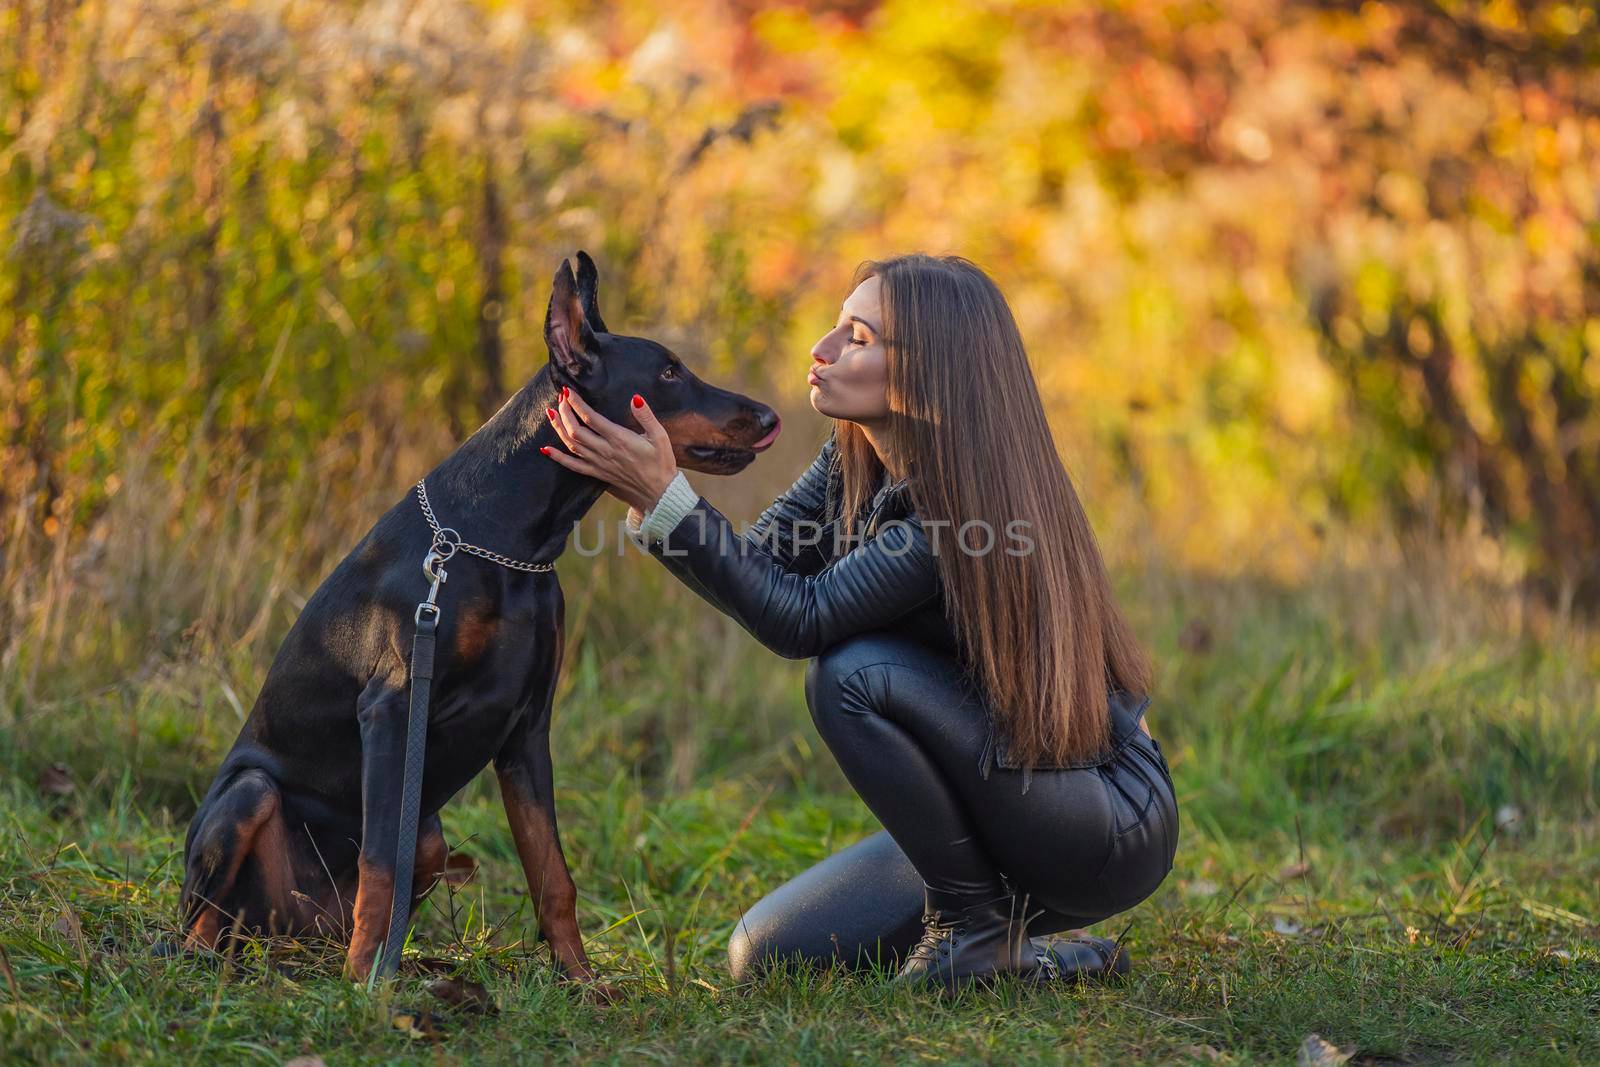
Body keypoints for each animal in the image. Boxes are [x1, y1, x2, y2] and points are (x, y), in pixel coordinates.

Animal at [181, 251, 780, 985]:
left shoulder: (527, 725)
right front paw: (367, 986)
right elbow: (379, 862)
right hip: (248, 797)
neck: (507, 538)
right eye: (667, 372)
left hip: (428, 840)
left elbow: (552, 873)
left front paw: (583, 981)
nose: (769, 415)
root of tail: (284, 936)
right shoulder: (392, 707)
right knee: (206, 915)